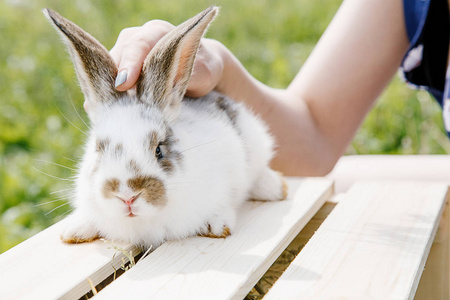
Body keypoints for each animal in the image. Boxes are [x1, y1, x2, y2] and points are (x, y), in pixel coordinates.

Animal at [44, 7, 286, 250]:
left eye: (159, 150)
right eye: (98, 150)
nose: (128, 196)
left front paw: (218, 225)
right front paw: (75, 229)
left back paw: (276, 188)